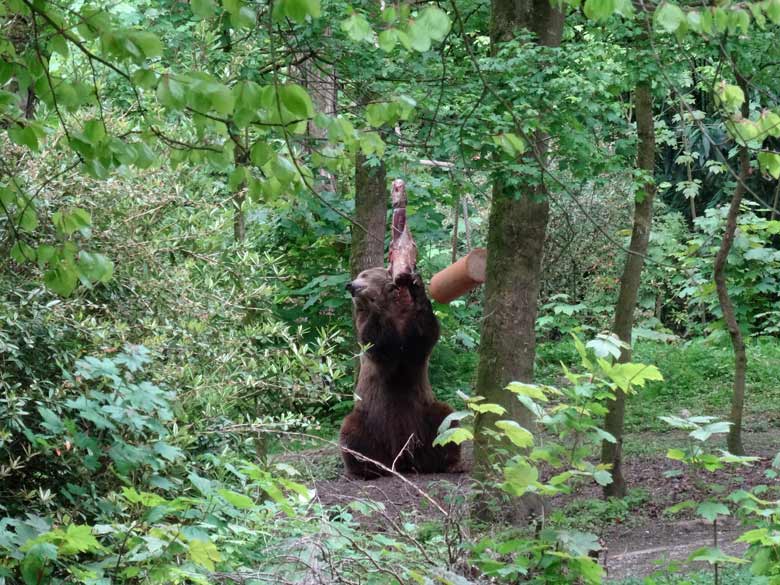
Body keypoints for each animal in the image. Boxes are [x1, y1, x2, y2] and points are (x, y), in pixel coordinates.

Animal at [338, 266, 460, 476]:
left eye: (364, 275)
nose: (351, 286)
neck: (392, 309)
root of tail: (401, 456)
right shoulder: (367, 328)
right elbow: (379, 344)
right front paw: (373, 303)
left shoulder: (409, 329)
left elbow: (423, 336)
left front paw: (417, 286)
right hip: (368, 418)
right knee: (351, 433)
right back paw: (367, 468)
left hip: (424, 415)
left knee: (446, 422)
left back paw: (448, 462)